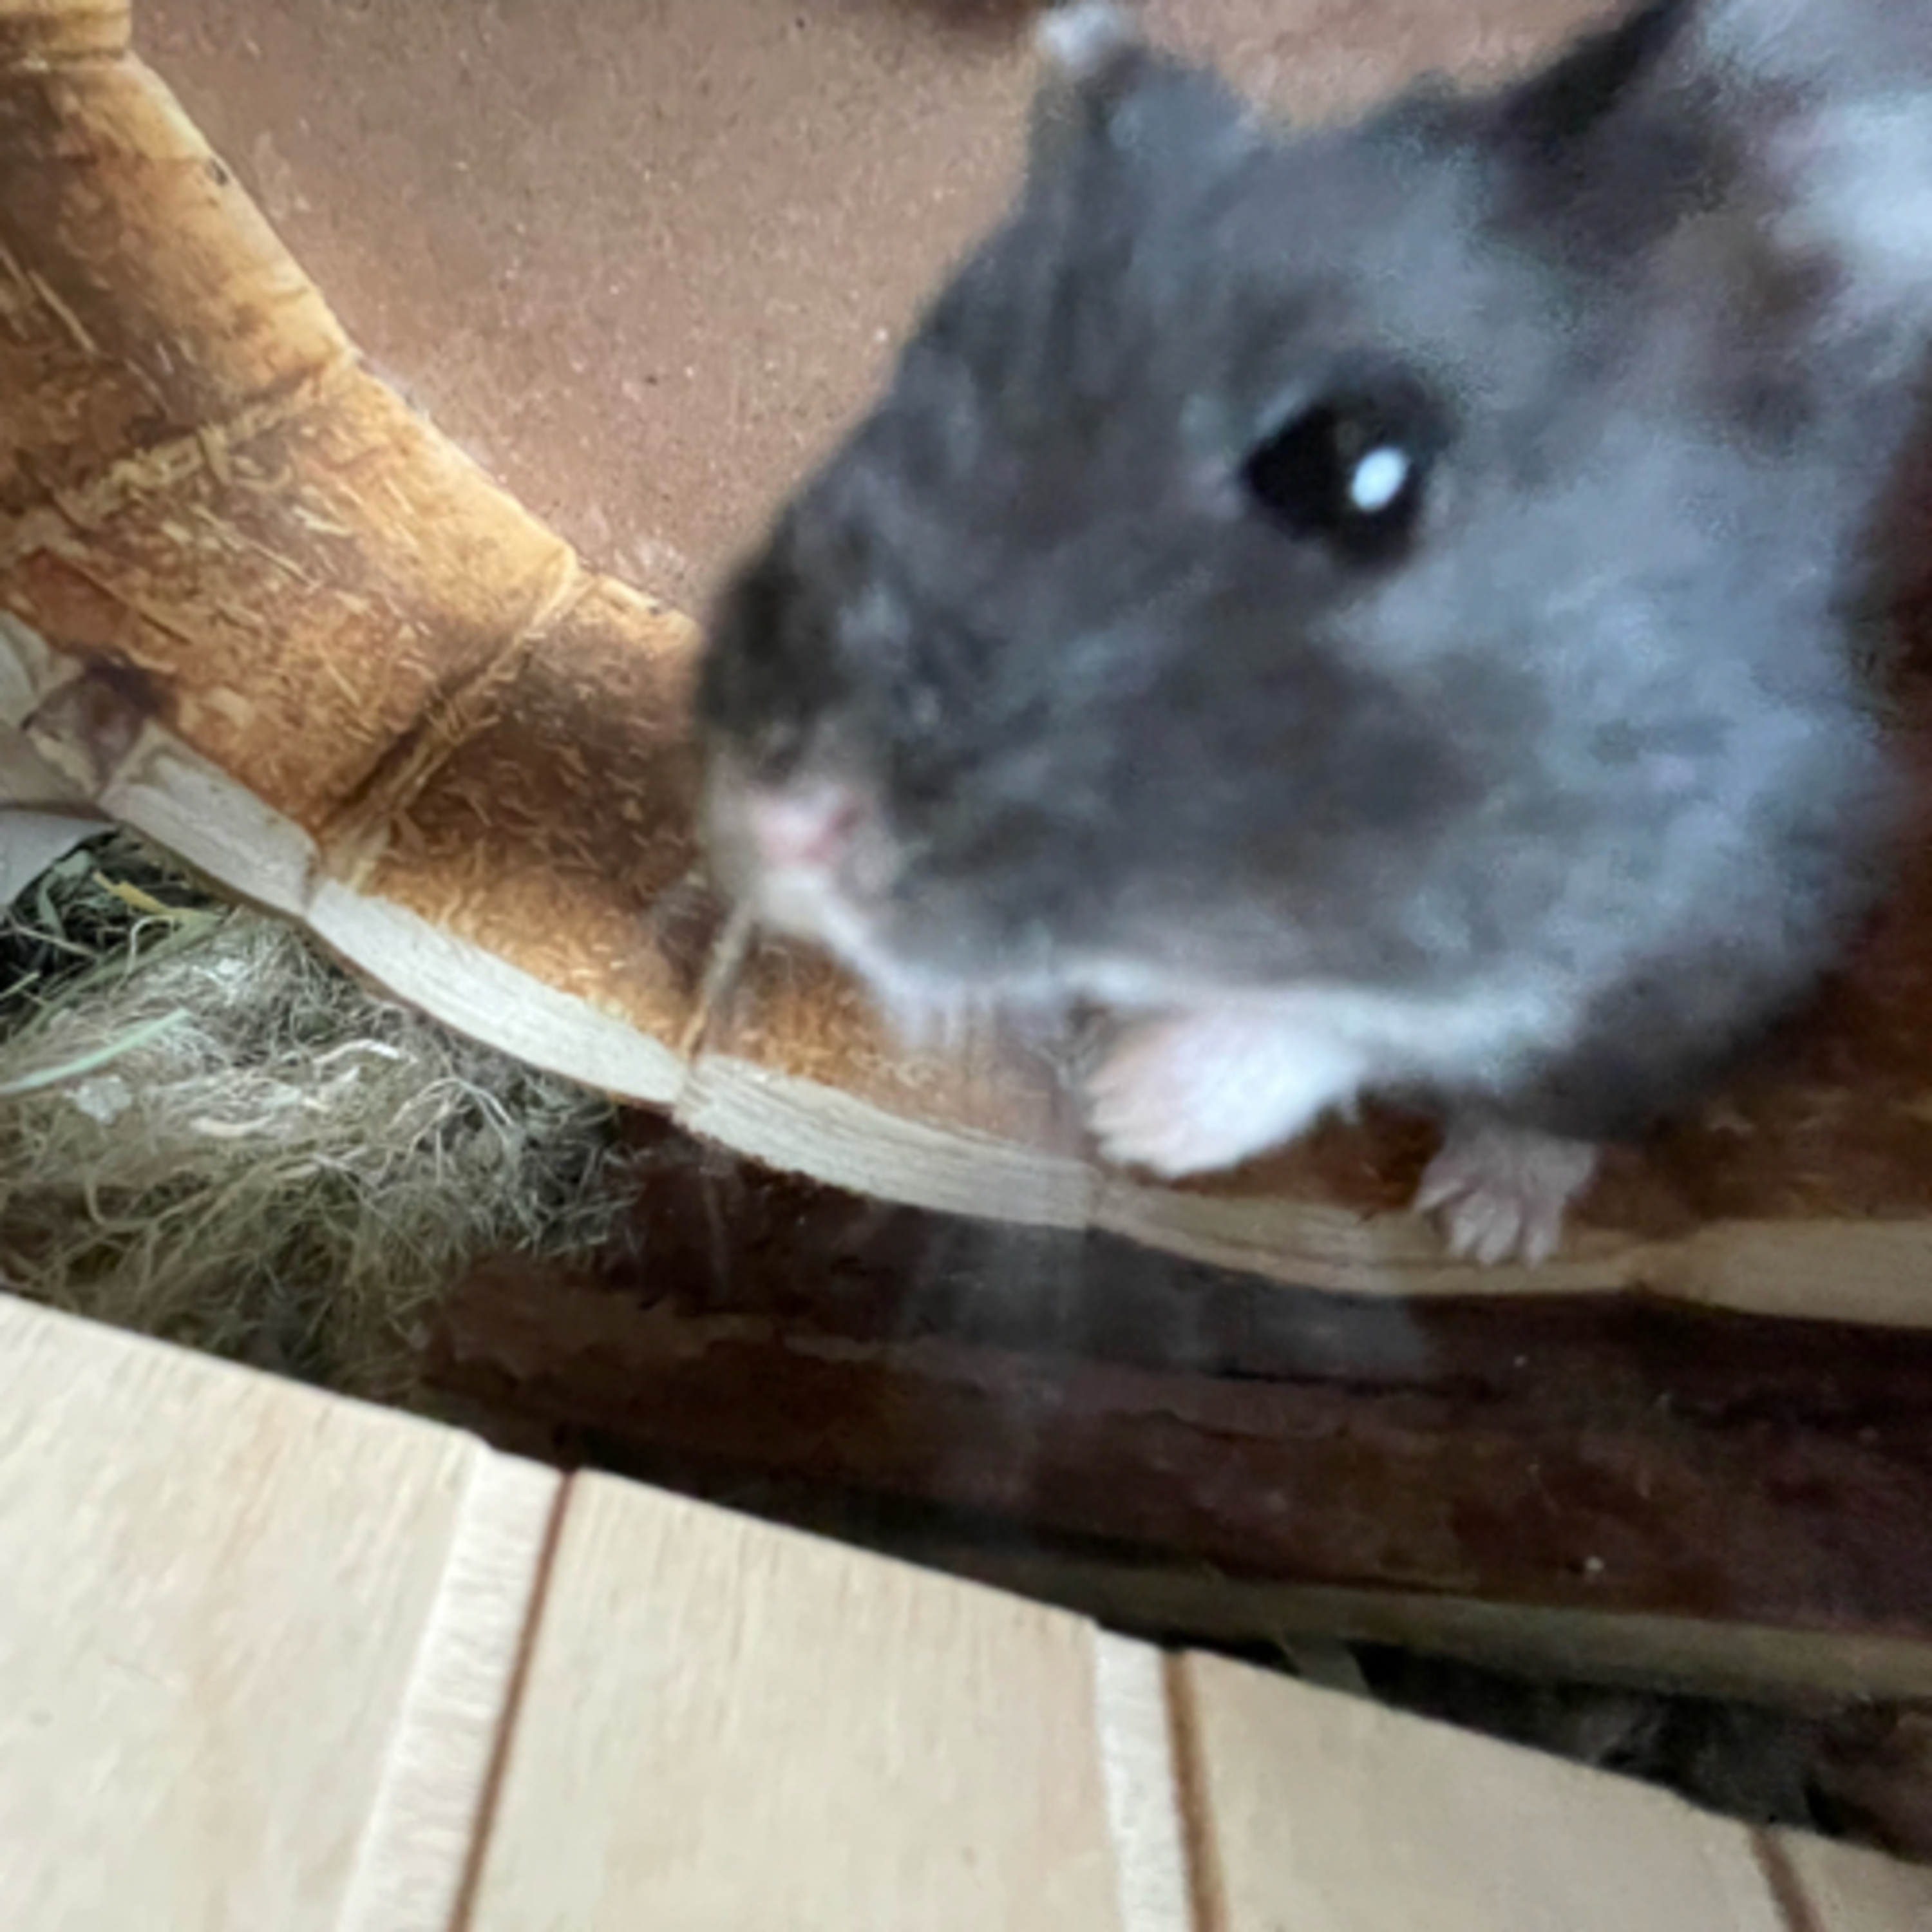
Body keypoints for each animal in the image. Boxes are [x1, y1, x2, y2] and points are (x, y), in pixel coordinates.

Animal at [695, 0, 1932, 1264]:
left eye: (1353, 471)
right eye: (924, 356)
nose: (769, 828)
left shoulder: (1698, 900)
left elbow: (1372, 1018)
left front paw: (1134, 1108)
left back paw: (1488, 1216)